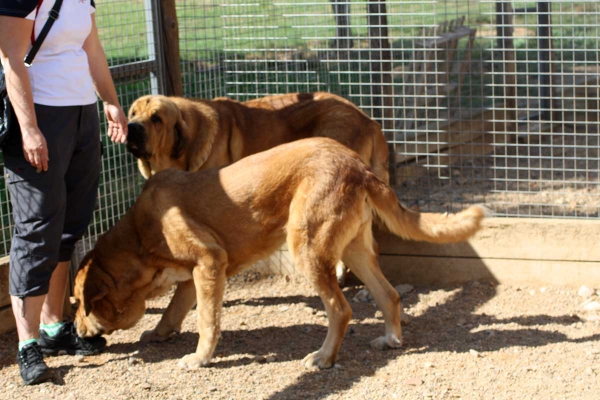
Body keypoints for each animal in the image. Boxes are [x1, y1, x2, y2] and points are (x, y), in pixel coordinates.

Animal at [75, 138, 488, 368]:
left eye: (78, 302)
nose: (76, 331)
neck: (138, 235)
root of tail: (357, 164)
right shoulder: (194, 276)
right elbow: (174, 311)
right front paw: (160, 334)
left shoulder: (210, 263)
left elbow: (207, 322)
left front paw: (200, 358)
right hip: (354, 250)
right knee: (388, 295)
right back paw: (389, 340)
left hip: (307, 248)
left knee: (341, 309)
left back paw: (323, 359)